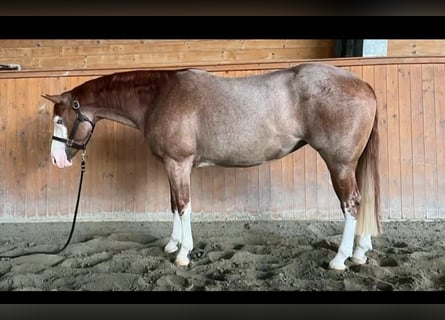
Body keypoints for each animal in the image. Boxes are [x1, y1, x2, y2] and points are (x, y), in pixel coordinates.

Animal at [43, 63, 380, 272]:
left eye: (60, 119)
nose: (57, 160)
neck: (159, 97)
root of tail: (363, 84)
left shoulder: (178, 164)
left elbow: (183, 205)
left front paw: (183, 254)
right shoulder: (173, 166)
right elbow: (173, 205)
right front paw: (173, 245)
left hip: (339, 164)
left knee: (351, 204)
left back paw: (340, 259)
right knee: (360, 203)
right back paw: (360, 253)